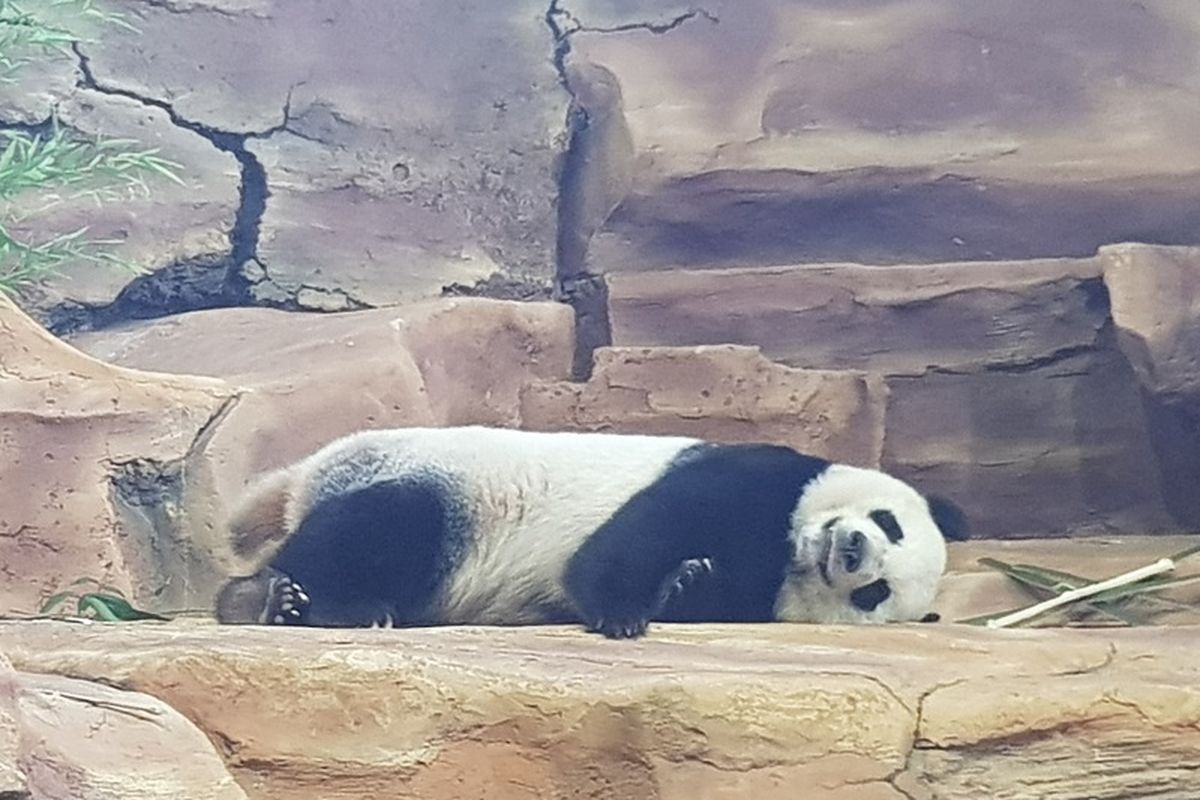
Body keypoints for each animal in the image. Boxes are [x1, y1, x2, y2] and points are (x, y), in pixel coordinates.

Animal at [213, 429, 964, 642]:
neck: (791, 552)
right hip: (443, 483)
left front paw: (686, 585)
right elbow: (641, 533)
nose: (851, 549)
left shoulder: (762, 593)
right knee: (377, 529)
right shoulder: (759, 480)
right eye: (889, 523)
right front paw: (624, 612)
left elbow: (715, 591)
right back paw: (290, 602)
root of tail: (304, 477)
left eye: (875, 593)